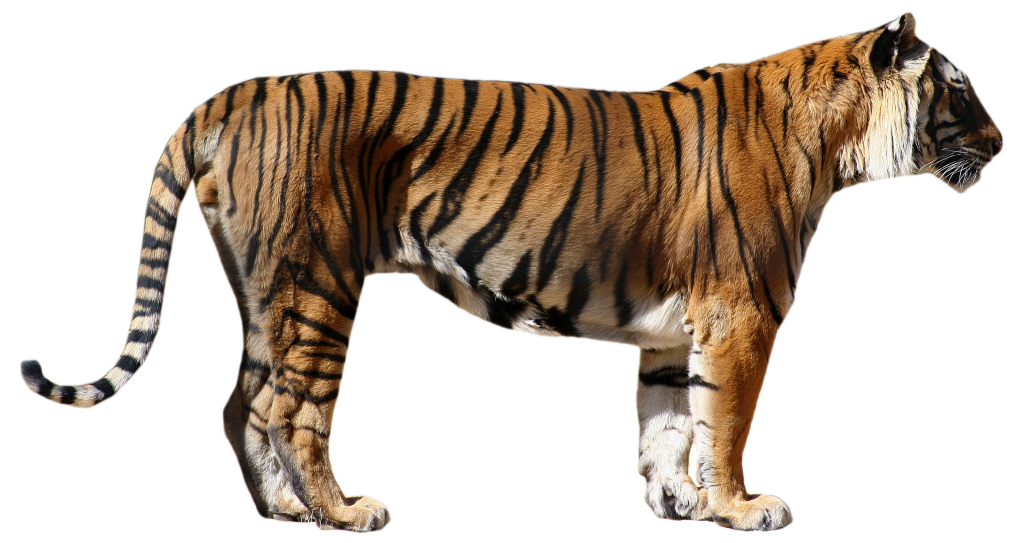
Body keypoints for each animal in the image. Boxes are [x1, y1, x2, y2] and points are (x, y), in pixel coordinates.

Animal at [17, 11, 1002, 532]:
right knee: (292, 410)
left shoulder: (673, 331)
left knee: (238, 402)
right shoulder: (742, 317)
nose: (1002, 141)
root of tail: (230, 96)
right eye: (958, 86)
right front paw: (740, 506)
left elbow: (666, 423)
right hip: (317, 290)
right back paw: (344, 510)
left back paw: (285, 512)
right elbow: (724, 425)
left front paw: (678, 502)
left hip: (269, 295)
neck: (841, 144)